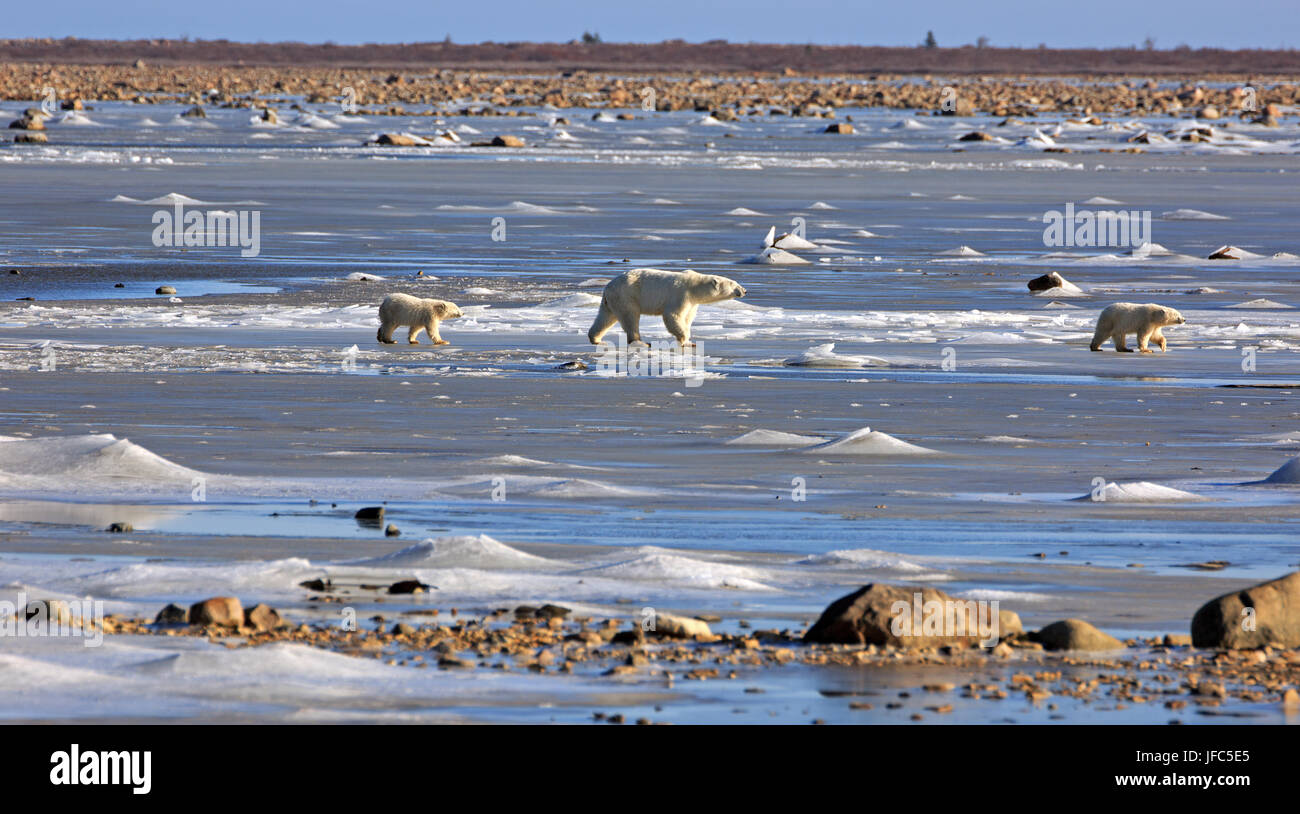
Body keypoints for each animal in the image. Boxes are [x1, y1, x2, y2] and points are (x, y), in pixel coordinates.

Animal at [587, 268, 746, 347]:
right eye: (734, 283)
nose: (744, 290)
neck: (694, 286)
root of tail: (608, 286)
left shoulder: (692, 302)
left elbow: (688, 318)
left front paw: (689, 339)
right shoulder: (680, 294)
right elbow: (673, 315)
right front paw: (685, 339)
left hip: (612, 300)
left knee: (606, 317)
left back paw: (596, 339)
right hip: (627, 295)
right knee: (630, 317)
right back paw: (641, 342)